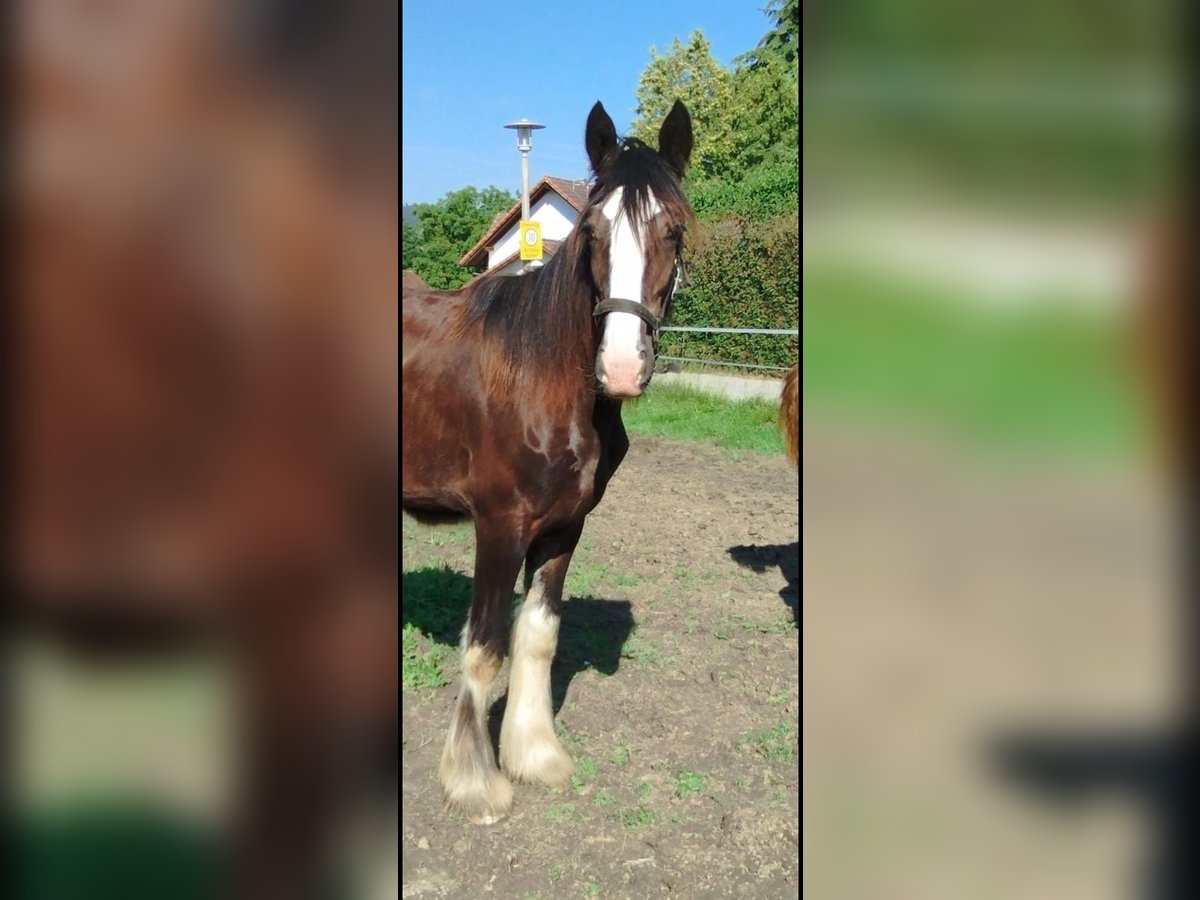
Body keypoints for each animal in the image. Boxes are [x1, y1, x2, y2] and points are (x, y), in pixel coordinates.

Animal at [403, 98, 696, 825]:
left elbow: (537, 636)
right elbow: (485, 649)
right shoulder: (499, 524)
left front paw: (534, 754)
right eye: (592, 229)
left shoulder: (564, 528)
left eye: (673, 229)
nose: (620, 367)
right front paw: (474, 782)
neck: (545, 376)